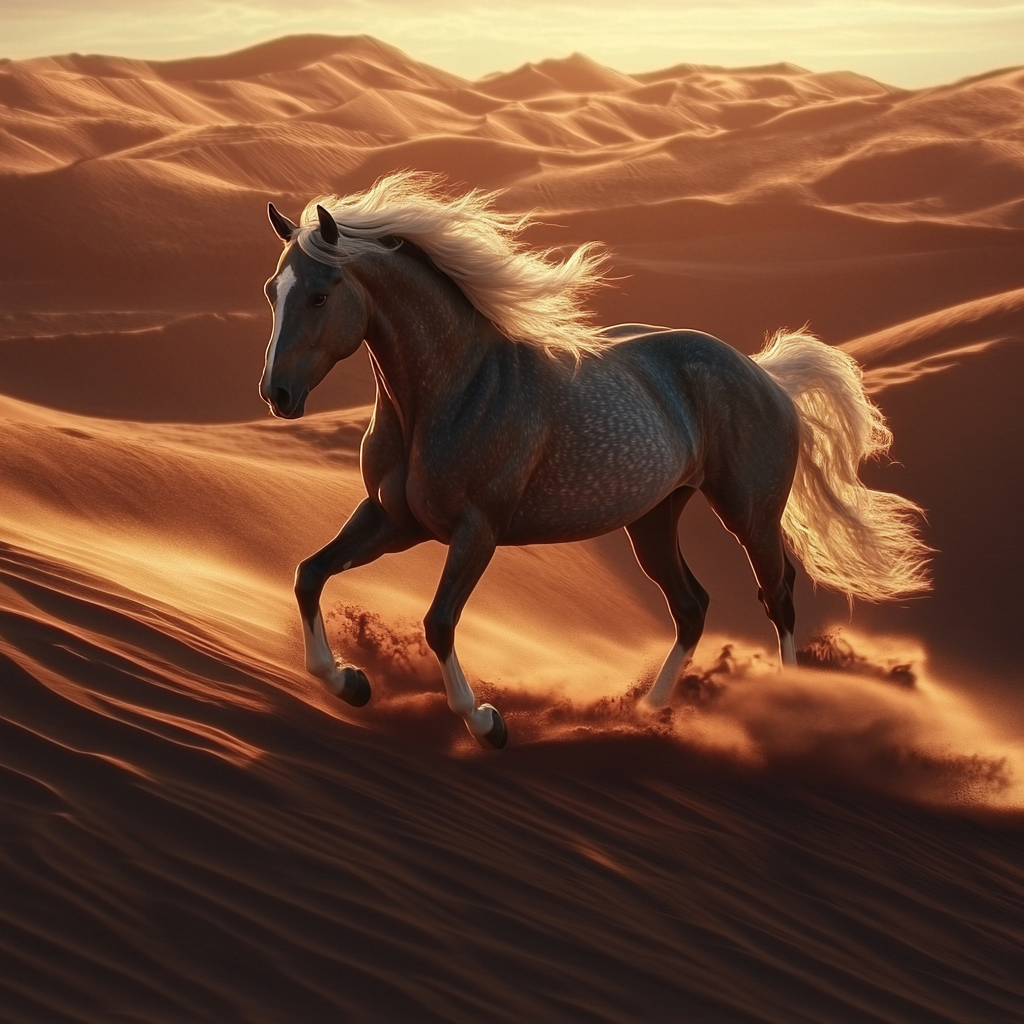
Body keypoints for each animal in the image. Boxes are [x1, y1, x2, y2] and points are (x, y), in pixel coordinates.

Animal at [260, 172, 933, 749]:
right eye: (272, 291)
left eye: (319, 295)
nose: (277, 394)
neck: (453, 390)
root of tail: (765, 377)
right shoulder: (393, 521)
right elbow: (308, 573)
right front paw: (349, 682)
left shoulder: (476, 531)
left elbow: (439, 623)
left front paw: (487, 723)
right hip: (654, 519)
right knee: (692, 607)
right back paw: (646, 714)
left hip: (751, 515)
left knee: (779, 596)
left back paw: (792, 707)